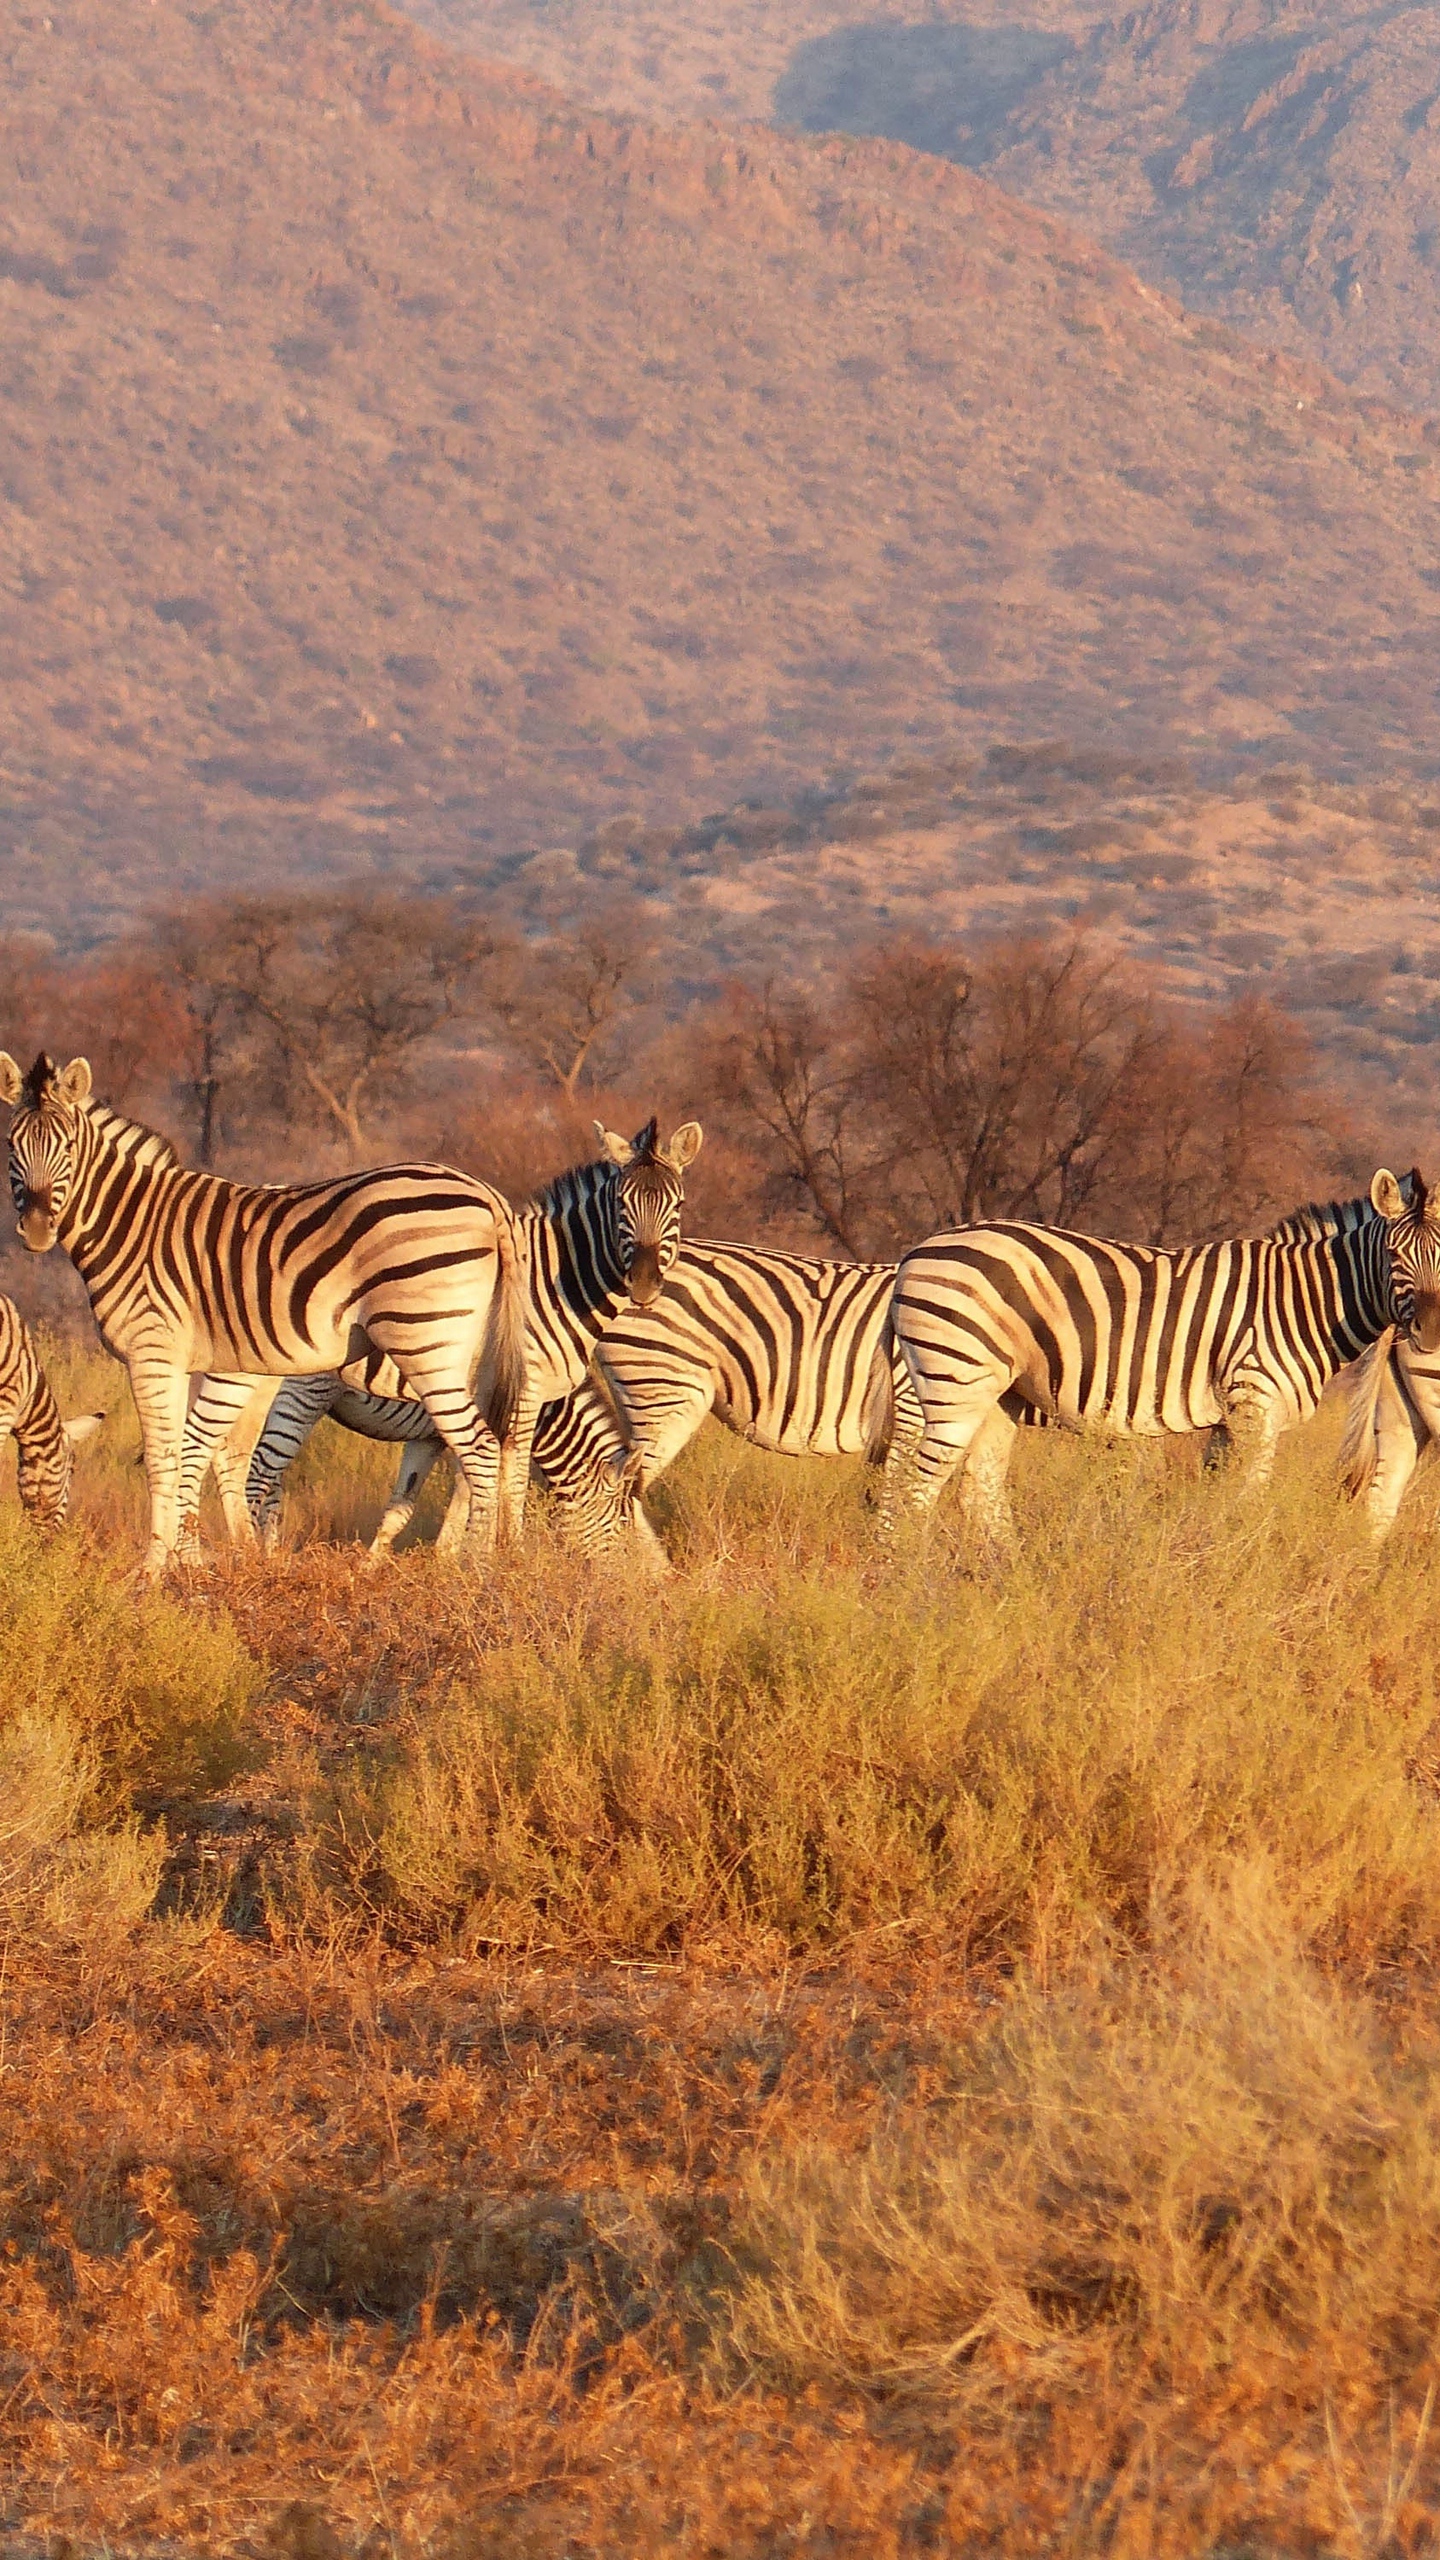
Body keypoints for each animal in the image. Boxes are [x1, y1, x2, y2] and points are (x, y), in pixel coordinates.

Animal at [180, 1121, 702, 1556]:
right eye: (621, 1205)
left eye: (677, 1206)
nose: (644, 1285)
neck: (556, 1280)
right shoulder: (523, 1395)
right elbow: (502, 1484)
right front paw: (498, 1557)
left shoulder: (447, 1425)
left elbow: (428, 1500)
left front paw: (447, 1562)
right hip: (274, 1378)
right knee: (239, 1459)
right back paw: (250, 1554)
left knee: (227, 1455)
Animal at [881, 1172, 1434, 1546]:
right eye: (1393, 1255)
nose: (1432, 1327)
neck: (1301, 1299)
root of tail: (917, 1251)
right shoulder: (1254, 1404)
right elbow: (1250, 1499)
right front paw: (1245, 1566)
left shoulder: (1228, 1418)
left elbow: (1218, 1495)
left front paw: (1210, 1559)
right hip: (956, 1380)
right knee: (912, 1493)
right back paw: (906, 1585)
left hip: (1001, 1395)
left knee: (978, 1489)